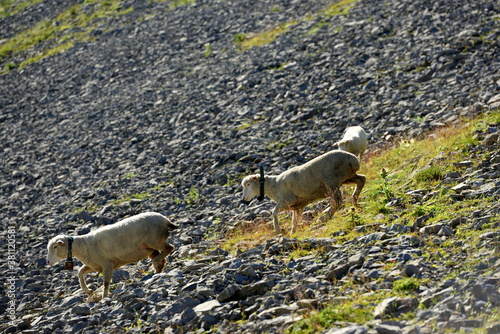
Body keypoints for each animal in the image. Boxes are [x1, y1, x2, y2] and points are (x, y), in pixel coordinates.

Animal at [45, 213, 178, 302]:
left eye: (55, 247)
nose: (47, 261)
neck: (84, 245)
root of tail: (165, 220)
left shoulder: (107, 264)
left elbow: (106, 282)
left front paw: (104, 297)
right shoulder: (95, 265)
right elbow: (80, 272)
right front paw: (89, 292)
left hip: (156, 241)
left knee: (170, 248)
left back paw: (156, 264)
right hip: (148, 248)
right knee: (163, 256)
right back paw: (158, 270)